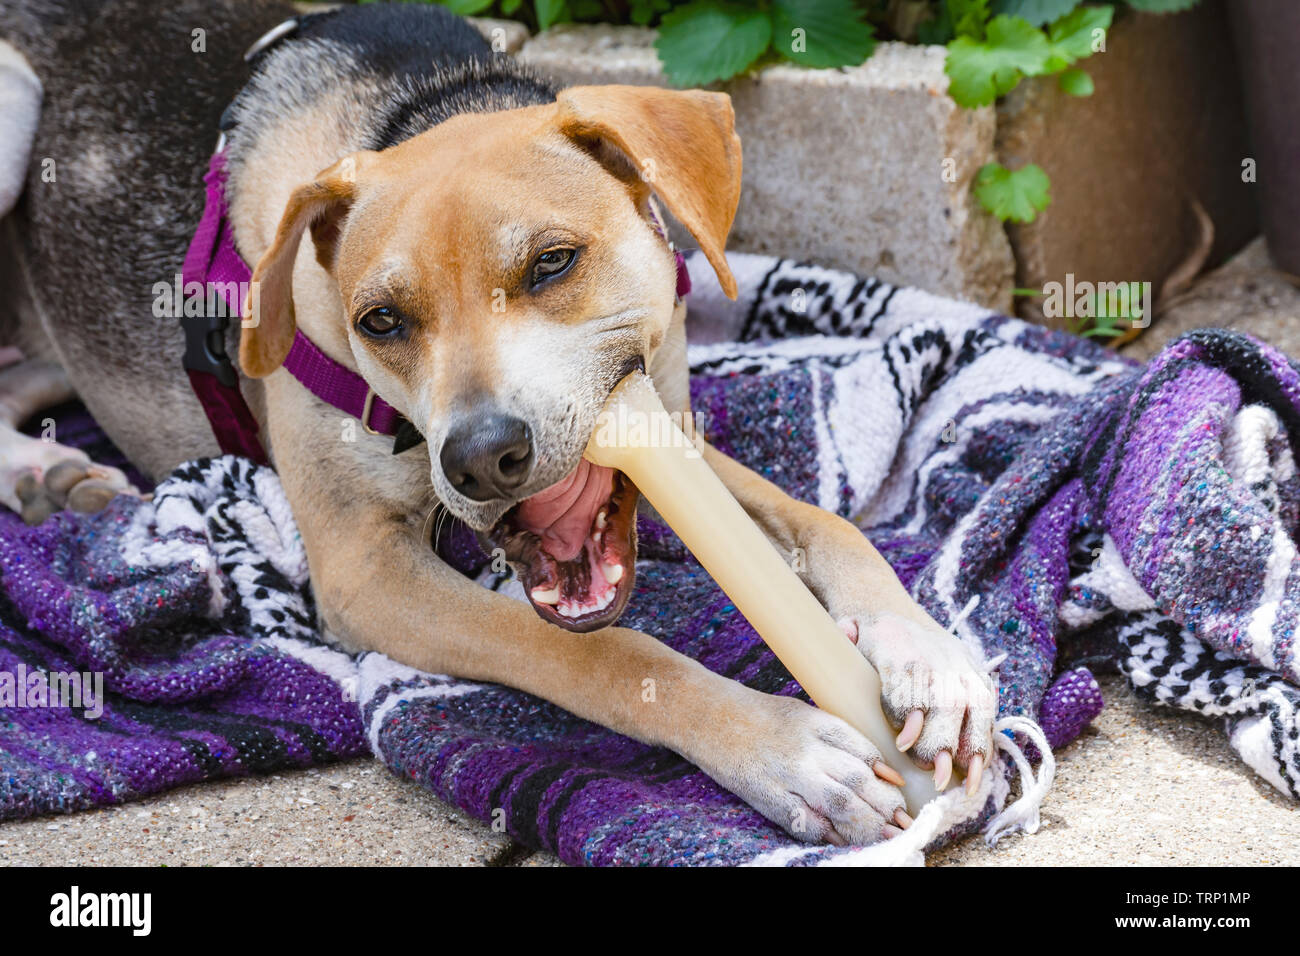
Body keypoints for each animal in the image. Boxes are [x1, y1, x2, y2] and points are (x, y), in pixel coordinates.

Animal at [2, 3, 993, 848]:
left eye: (553, 263)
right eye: (380, 321)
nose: (482, 459)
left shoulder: (675, 435)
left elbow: (827, 524)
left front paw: (927, 656)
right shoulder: (364, 569)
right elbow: (606, 655)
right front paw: (780, 745)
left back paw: (50, 469)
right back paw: (37, 474)